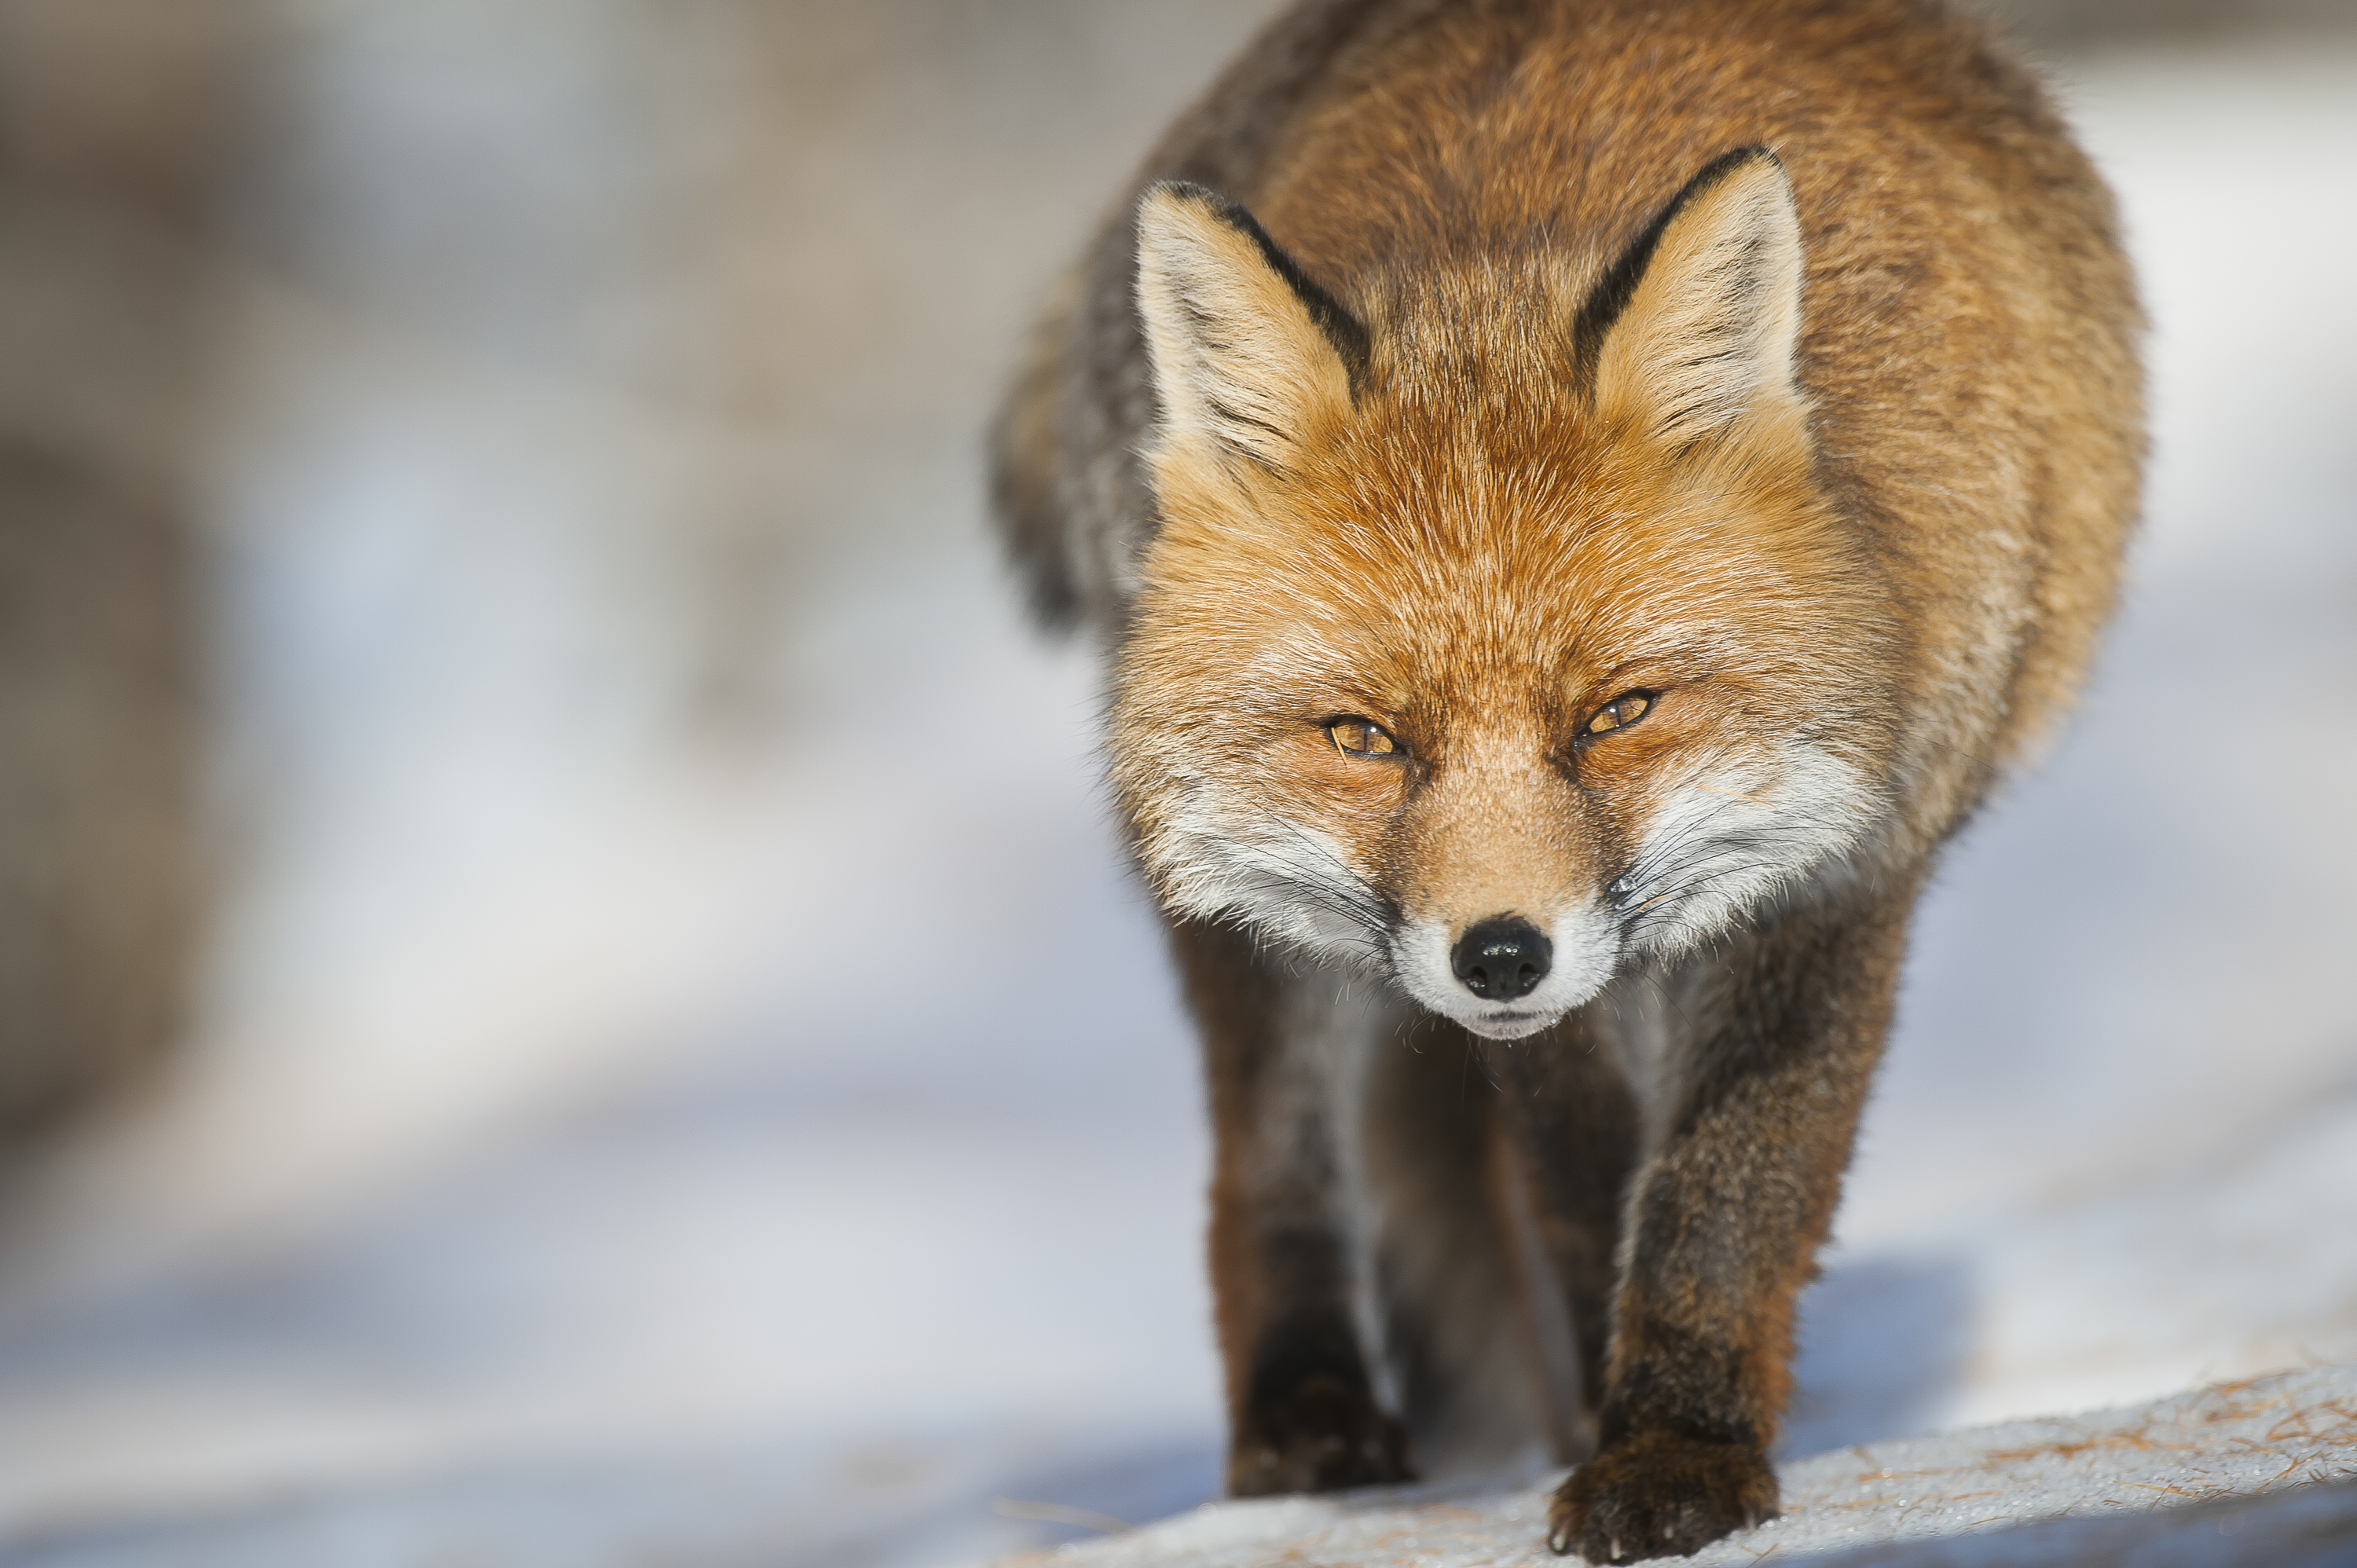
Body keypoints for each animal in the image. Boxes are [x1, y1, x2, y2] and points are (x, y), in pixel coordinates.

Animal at [990, 0, 2141, 1559]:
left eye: (1618, 714)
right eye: (1366, 738)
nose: (1499, 955)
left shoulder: (1850, 868)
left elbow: (1722, 1188)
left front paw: (1671, 1448)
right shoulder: (1524, 1014)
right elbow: (1589, 1194)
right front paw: (1625, 1410)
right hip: (1257, 936)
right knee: (1265, 1170)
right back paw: (1307, 1427)